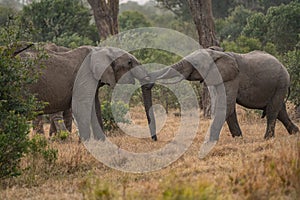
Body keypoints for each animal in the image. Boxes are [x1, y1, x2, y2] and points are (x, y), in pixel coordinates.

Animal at [19, 43, 157, 141]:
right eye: (129, 62)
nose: (154, 139)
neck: (101, 50)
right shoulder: (85, 77)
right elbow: (82, 105)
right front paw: (86, 143)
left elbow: (95, 106)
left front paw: (101, 142)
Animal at [149, 49, 298, 145]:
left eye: (195, 65)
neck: (216, 53)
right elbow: (226, 107)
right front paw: (238, 139)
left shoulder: (231, 78)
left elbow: (226, 105)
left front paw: (209, 142)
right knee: (280, 111)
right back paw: (295, 133)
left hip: (281, 83)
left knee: (273, 111)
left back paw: (268, 139)